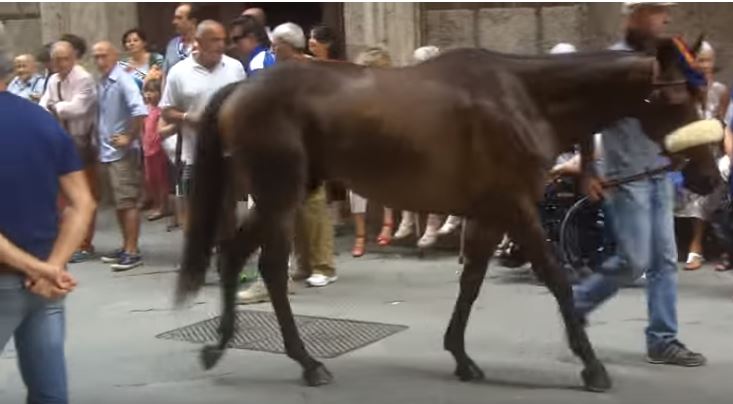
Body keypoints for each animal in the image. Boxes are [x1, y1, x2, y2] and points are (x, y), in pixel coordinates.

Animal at [175, 36, 720, 393]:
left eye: (702, 94)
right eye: (677, 96)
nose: (709, 176)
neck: (525, 98)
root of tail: (241, 88)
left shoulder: (488, 213)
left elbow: (472, 282)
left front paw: (461, 355)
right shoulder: (516, 206)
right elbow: (557, 280)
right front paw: (591, 366)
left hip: (280, 195)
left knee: (233, 255)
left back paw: (219, 345)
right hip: (279, 194)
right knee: (267, 267)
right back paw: (306, 363)